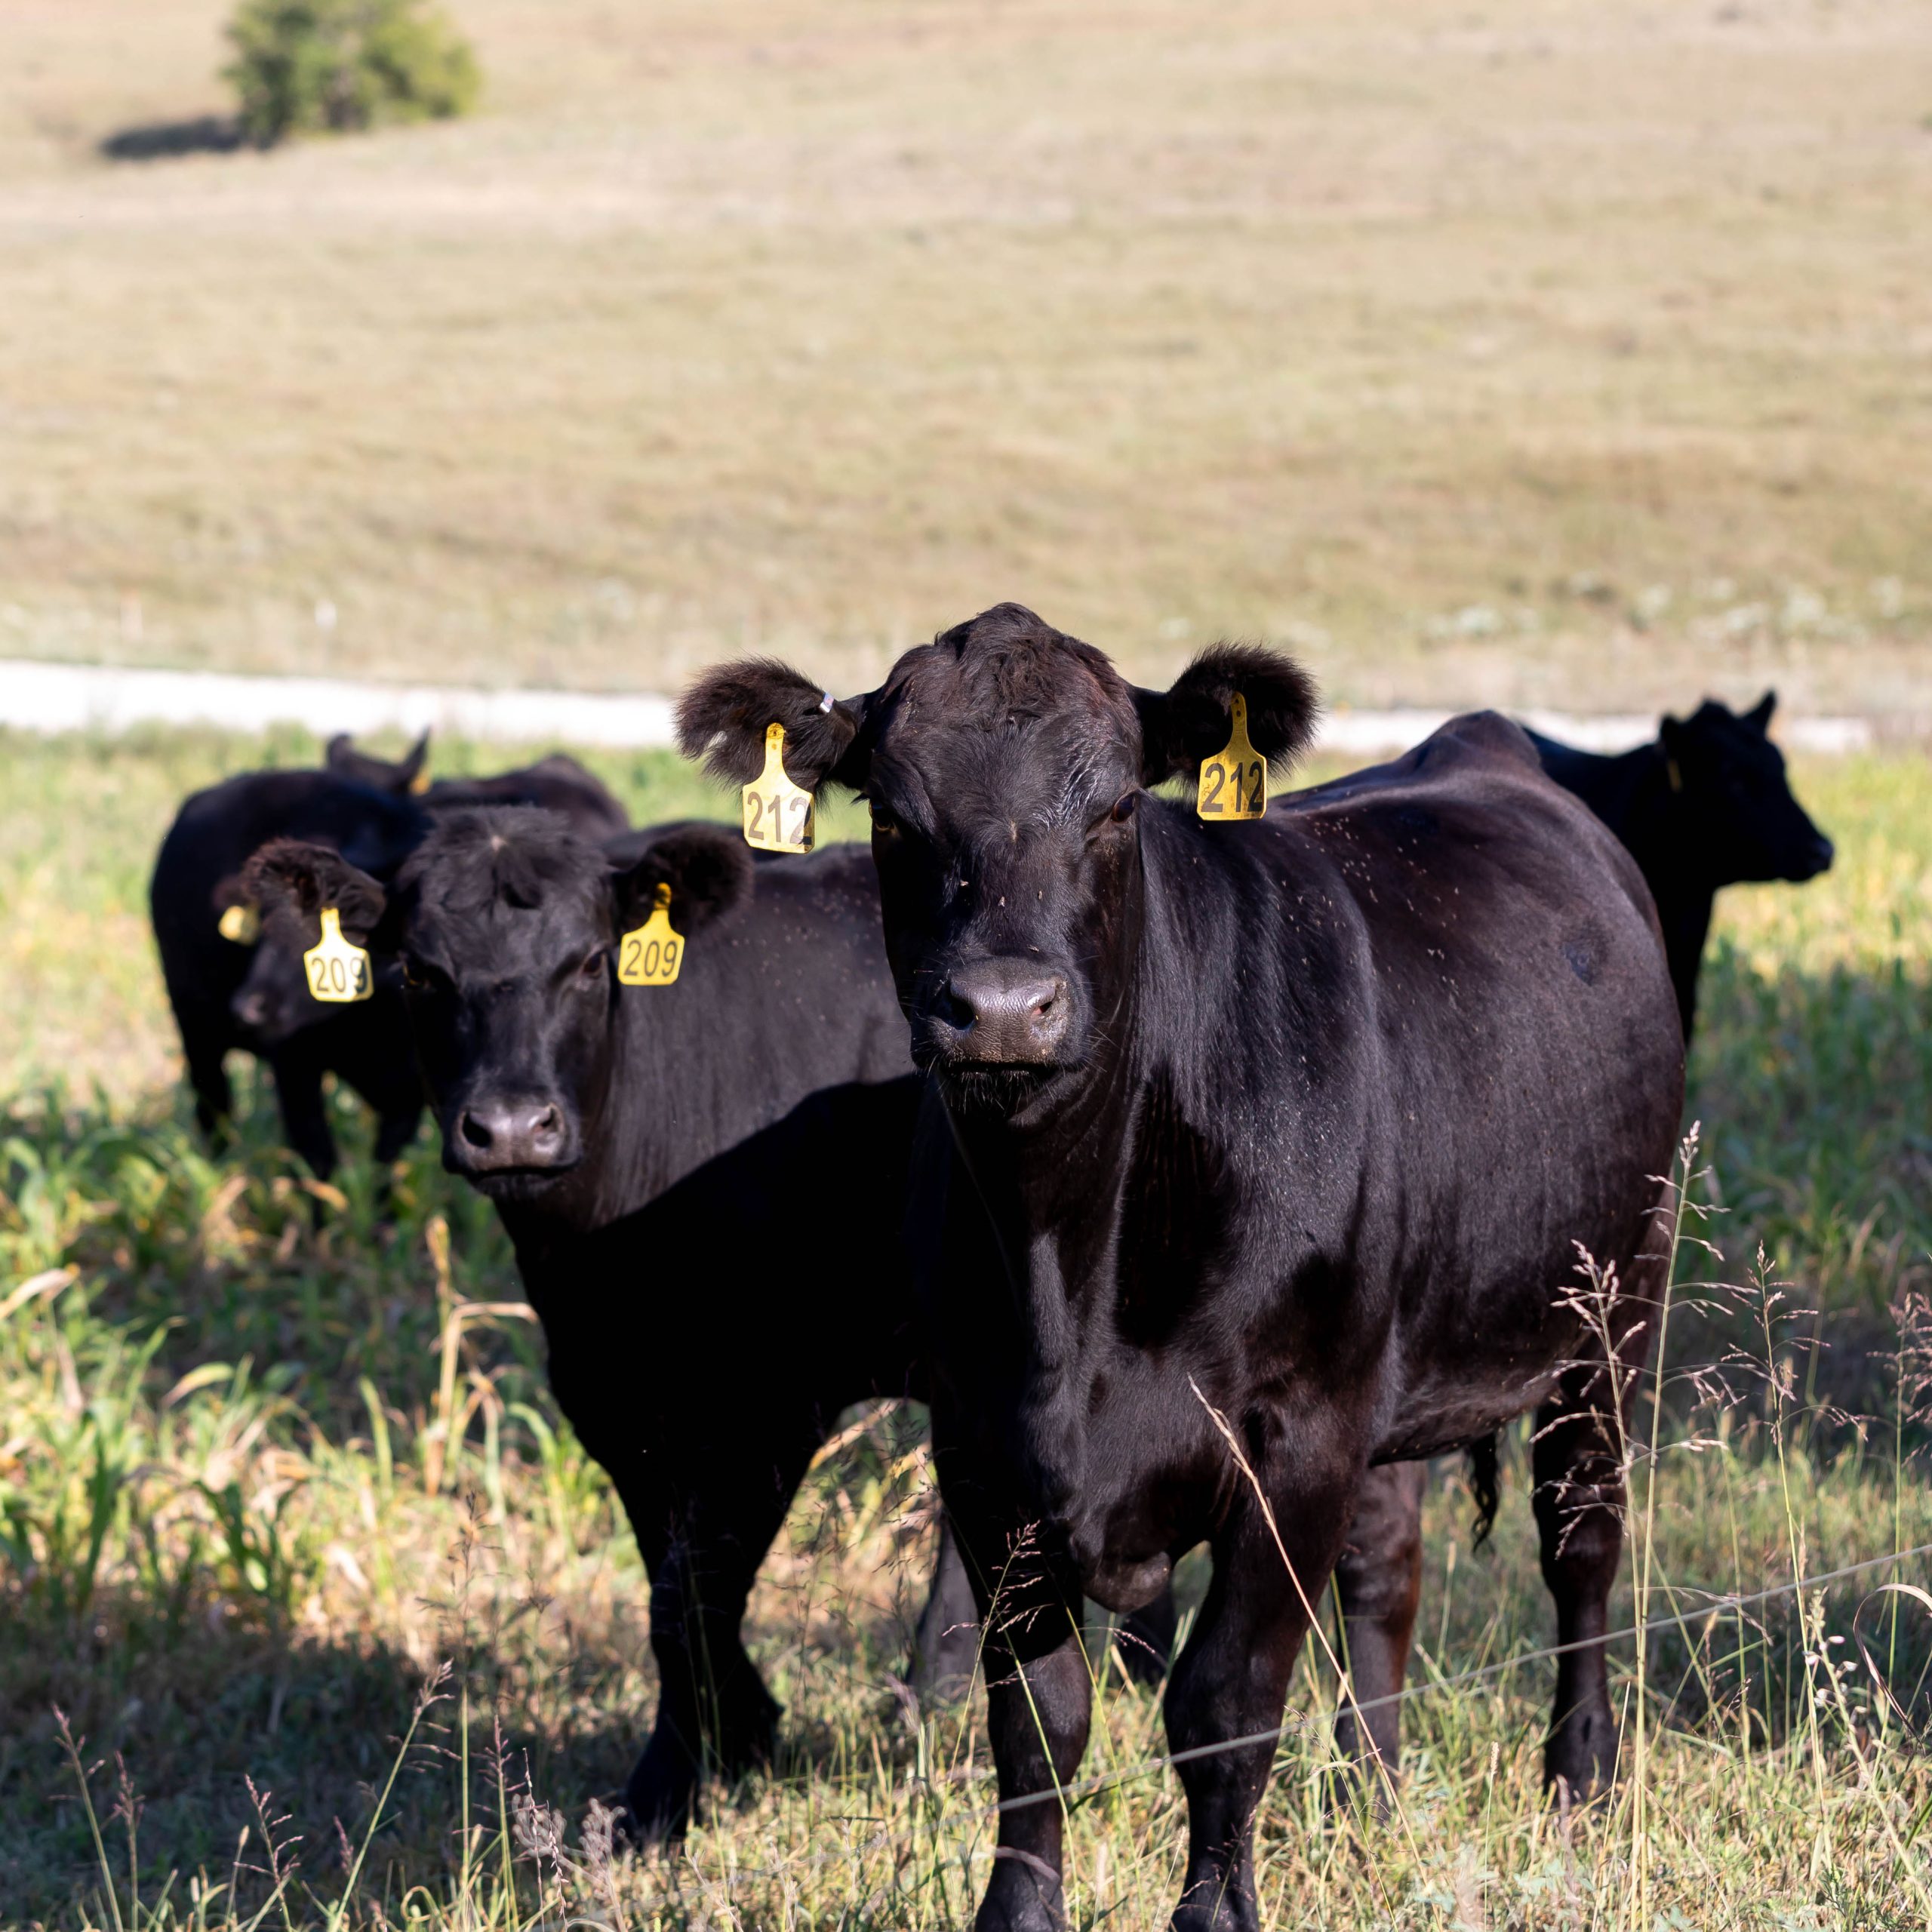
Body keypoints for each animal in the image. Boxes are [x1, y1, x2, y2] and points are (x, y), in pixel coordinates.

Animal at [150, 767, 429, 1181]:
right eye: (269, 920)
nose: (251, 1008)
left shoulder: (412, 1093)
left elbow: (386, 1170)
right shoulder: (293, 1066)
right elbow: (318, 1163)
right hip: (194, 1028)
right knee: (215, 1116)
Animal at [244, 810, 982, 1840]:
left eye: (592, 963)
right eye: (418, 971)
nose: (512, 1127)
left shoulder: (766, 1402)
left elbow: (688, 1595)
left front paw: (667, 1792)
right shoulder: (613, 1396)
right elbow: (671, 1591)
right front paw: (730, 1740)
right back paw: (943, 1688)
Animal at [678, 603, 1685, 1932]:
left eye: (1116, 807)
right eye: (890, 815)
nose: (1005, 1009)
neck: (1070, 1279)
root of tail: (1482, 746)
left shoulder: (1293, 1442)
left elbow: (1222, 1708)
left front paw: (1216, 1911)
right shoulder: (983, 1452)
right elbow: (1038, 1725)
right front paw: (1019, 1915)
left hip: (1610, 1315)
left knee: (1581, 1544)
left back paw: (1579, 1785)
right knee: (1386, 1572)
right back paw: (1372, 1797)